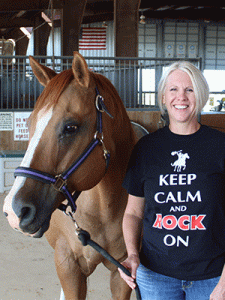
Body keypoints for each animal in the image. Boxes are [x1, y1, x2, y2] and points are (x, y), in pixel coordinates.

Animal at [3, 52, 144, 298]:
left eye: (70, 127)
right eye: (29, 124)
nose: (13, 211)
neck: (103, 208)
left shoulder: (123, 271)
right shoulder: (68, 265)